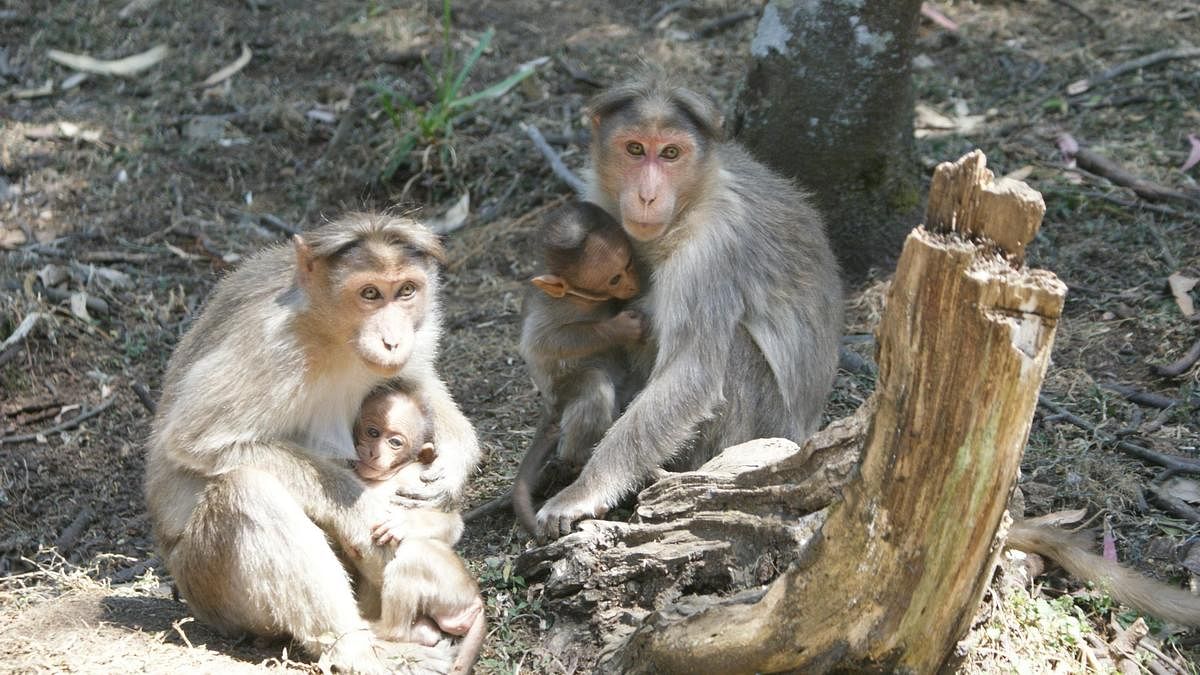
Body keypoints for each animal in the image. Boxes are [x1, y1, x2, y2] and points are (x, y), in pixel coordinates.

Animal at [350, 381, 484, 667]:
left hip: (451, 588)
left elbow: (452, 522)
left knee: (413, 554)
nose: (373, 452)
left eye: (395, 442)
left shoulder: (414, 479)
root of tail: (476, 599)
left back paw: (386, 629)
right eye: (372, 432)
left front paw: (403, 523)